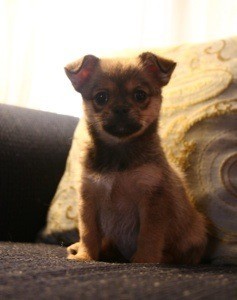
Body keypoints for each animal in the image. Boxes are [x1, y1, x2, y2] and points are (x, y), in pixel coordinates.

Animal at [65, 52, 207, 264]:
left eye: (140, 95)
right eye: (101, 97)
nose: (120, 108)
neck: (119, 152)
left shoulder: (152, 200)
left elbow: (149, 235)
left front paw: (144, 260)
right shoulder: (89, 198)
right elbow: (88, 233)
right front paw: (85, 256)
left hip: (196, 232)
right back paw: (78, 248)